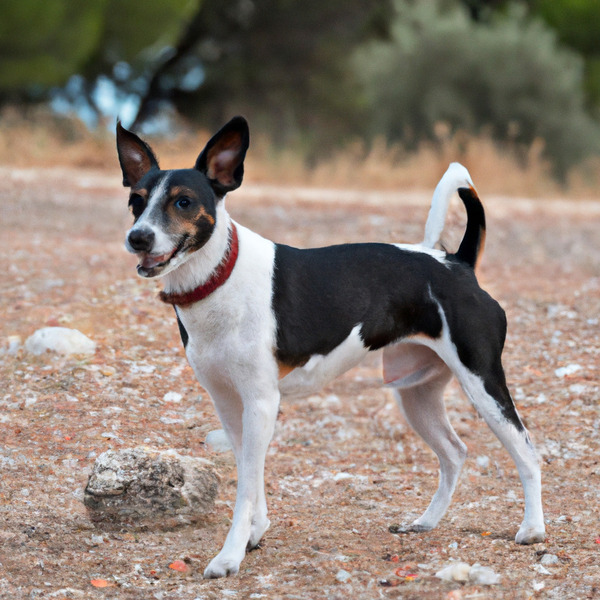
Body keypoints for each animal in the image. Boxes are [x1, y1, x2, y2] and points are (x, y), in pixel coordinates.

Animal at [116, 115, 544, 580]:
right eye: (136, 202)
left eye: (183, 202)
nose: (138, 238)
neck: (219, 276)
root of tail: (457, 263)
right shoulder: (230, 404)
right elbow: (251, 474)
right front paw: (255, 533)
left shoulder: (261, 402)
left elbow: (246, 486)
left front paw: (229, 556)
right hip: (416, 395)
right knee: (454, 453)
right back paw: (426, 522)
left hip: (484, 385)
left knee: (527, 453)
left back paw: (533, 530)